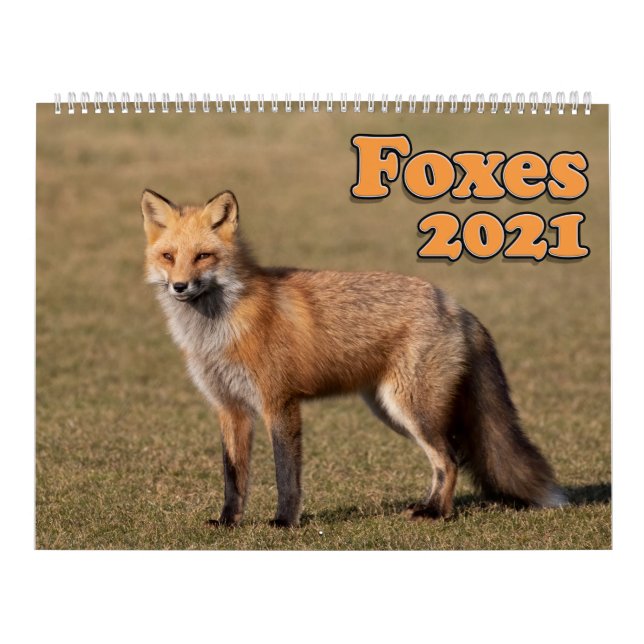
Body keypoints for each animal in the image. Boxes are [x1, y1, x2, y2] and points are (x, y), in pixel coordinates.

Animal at [140, 188, 566, 528]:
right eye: (169, 256)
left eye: (203, 256)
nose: (180, 287)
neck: (220, 329)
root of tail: (455, 305)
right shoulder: (230, 407)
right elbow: (234, 476)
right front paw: (229, 522)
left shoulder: (280, 403)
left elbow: (285, 474)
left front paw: (284, 522)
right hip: (391, 412)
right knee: (444, 460)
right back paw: (428, 507)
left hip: (411, 409)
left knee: (449, 458)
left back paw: (436, 514)